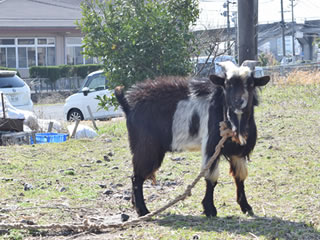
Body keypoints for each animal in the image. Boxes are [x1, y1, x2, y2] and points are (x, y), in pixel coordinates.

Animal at [115, 61, 270, 217]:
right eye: (227, 84)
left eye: (251, 84)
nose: (239, 102)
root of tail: (128, 106)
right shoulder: (211, 147)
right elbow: (211, 178)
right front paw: (210, 209)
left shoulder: (238, 151)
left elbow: (240, 177)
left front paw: (246, 206)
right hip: (146, 148)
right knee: (137, 178)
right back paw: (143, 211)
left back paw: (136, 206)